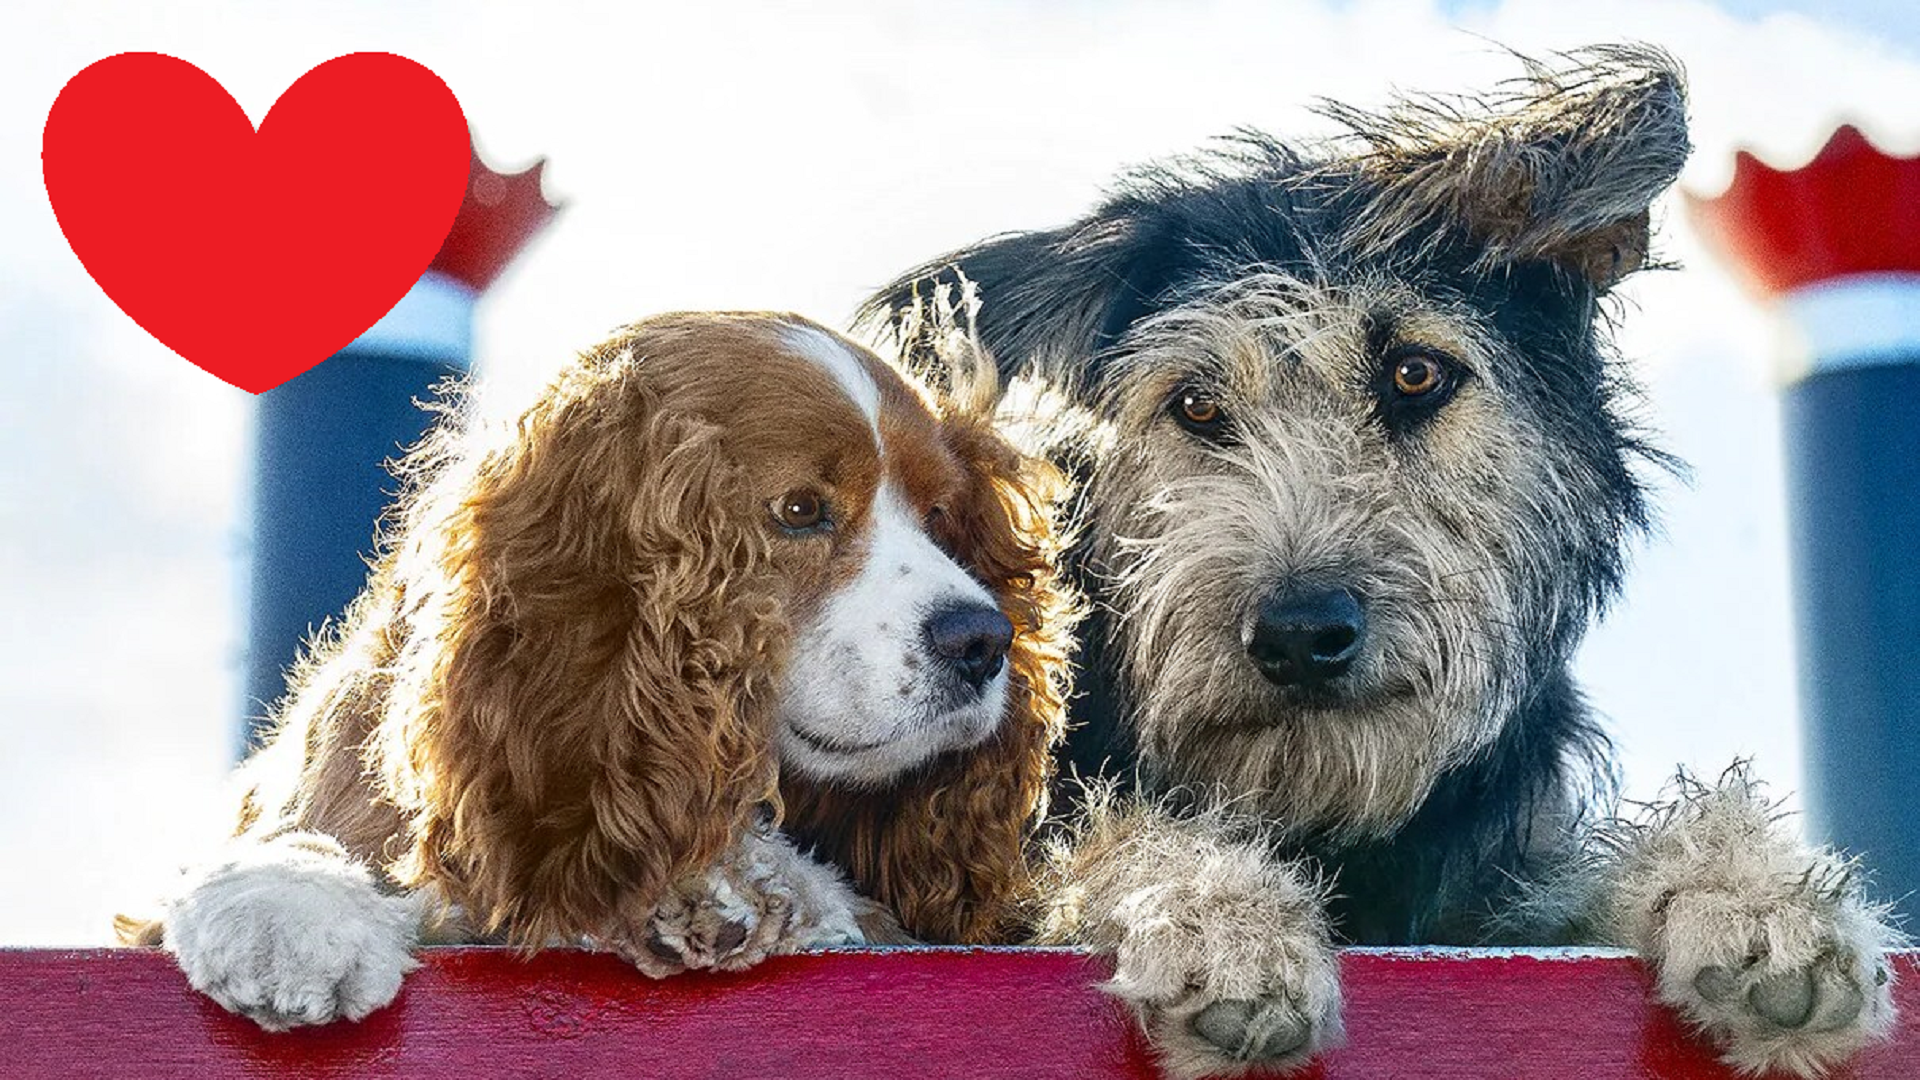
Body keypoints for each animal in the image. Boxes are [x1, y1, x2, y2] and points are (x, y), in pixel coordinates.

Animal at [875, 48, 1904, 1076]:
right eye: (1196, 405)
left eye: (1416, 373)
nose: (1299, 634)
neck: (1327, 818)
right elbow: (1095, 846)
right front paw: (1215, 913)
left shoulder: (1490, 898)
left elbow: (1577, 874)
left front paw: (1750, 894)